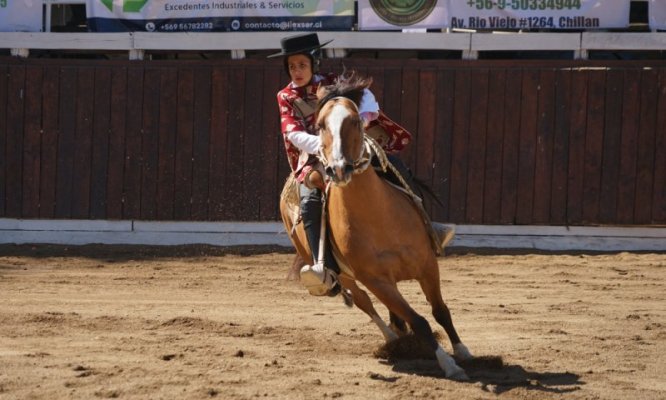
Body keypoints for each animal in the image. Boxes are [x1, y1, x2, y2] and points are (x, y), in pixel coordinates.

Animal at [278, 72, 470, 382]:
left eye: (355, 121)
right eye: (320, 125)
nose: (338, 169)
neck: (379, 220)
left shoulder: (428, 265)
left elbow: (440, 311)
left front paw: (462, 351)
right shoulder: (376, 280)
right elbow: (419, 321)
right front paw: (449, 365)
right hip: (344, 276)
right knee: (364, 303)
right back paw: (393, 339)